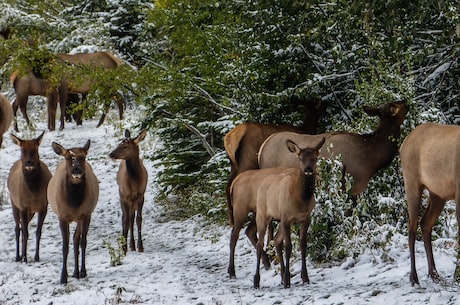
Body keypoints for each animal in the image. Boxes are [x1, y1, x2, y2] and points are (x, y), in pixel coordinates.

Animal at [7, 131, 52, 262]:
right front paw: (25, 257)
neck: (33, 194)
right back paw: (18, 256)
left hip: (30, 212)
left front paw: (36, 257)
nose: (28, 162)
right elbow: (25, 233)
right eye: (22, 150)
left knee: (22, 228)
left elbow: (38, 232)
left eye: (35, 150)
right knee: (18, 229)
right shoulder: (23, 206)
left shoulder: (43, 206)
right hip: (14, 202)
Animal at [47, 139, 99, 284]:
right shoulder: (62, 216)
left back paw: (77, 272)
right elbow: (65, 246)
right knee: (74, 239)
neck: (74, 203)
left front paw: (83, 271)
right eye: (68, 157)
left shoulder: (86, 214)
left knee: (76, 240)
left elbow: (83, 242)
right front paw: (63, 277)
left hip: (81, 218)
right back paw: (74, 272)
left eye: (83, 157)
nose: (77, 169)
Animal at [229, 137, 324, 286]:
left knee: (252, 232)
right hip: (241, 208)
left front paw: (304, 277)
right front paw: (287, 279)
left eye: (315, 157)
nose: (308, 169)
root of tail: (234, 183)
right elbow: (288, 246)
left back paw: (267, 265)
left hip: (259, 214)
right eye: (300, 158)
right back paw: (235, 272)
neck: (301, 199)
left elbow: (302, 245)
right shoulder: (285, 218)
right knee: (236, 235)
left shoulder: (305, 218)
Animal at [400, 121, 460, 284]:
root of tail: (403, 143)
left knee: (425, 223)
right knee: (412, 226)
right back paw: (414, 277)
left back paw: (433, 273)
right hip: (411, 182)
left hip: (437, 194)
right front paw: (457, 275)